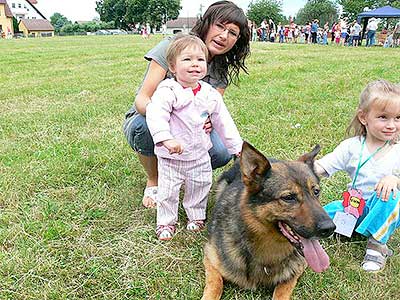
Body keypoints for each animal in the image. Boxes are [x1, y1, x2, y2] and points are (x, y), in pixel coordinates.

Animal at [202, 142, 336, 298]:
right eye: (288, 197)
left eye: (316, 192)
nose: (330, 228)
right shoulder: (211, 257)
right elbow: (215, 283)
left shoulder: (297, 270)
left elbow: (282, 291)